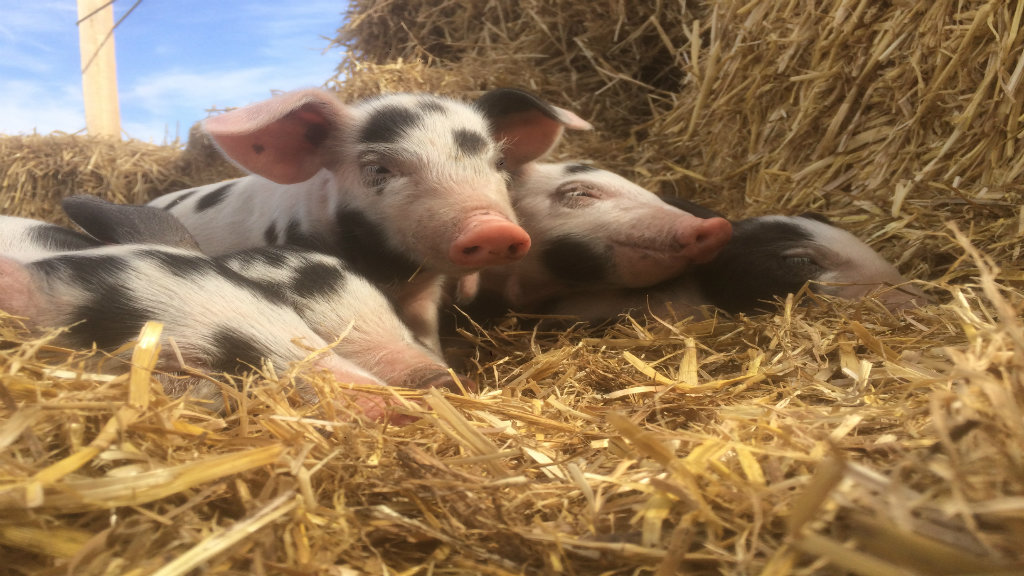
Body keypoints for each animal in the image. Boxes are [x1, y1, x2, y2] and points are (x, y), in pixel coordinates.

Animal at [145, 88, 593, 352]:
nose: (493, 228)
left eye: (498, 163)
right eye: (378, 168)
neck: (391, 269)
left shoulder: (423, 293)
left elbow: (425, 332)